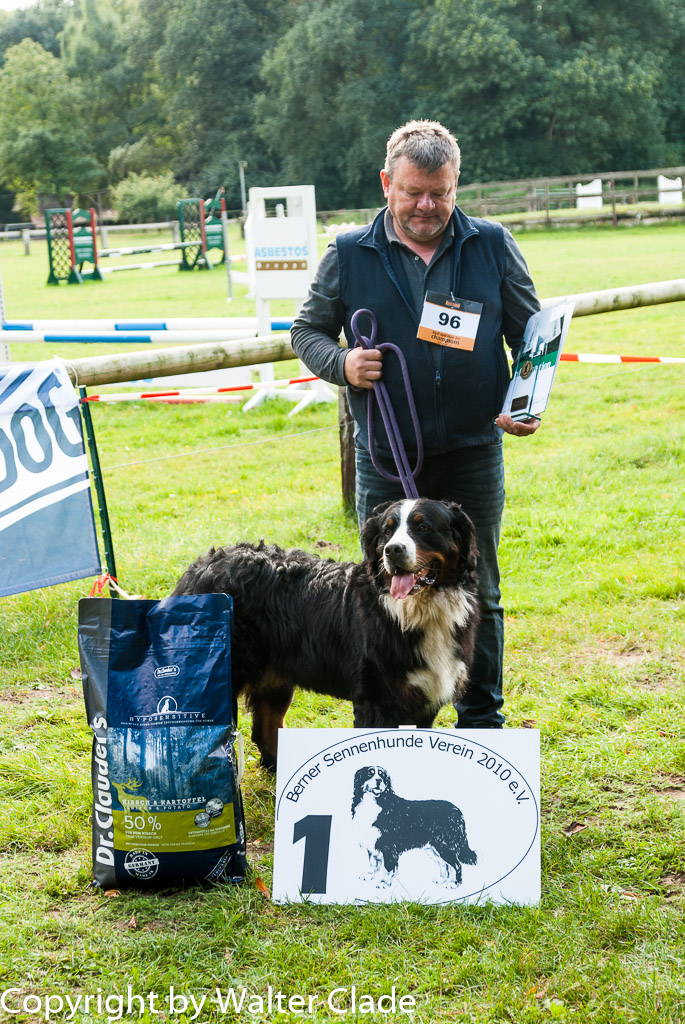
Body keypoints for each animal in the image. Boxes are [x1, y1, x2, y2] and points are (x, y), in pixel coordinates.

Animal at [172, 497, 479, 769]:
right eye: (387, 530)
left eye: (423, 526)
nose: (392, 550)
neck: (412, 611)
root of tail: (201, 565)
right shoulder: (377, 701)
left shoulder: (424, 699)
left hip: (275, 677)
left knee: (266, 727)